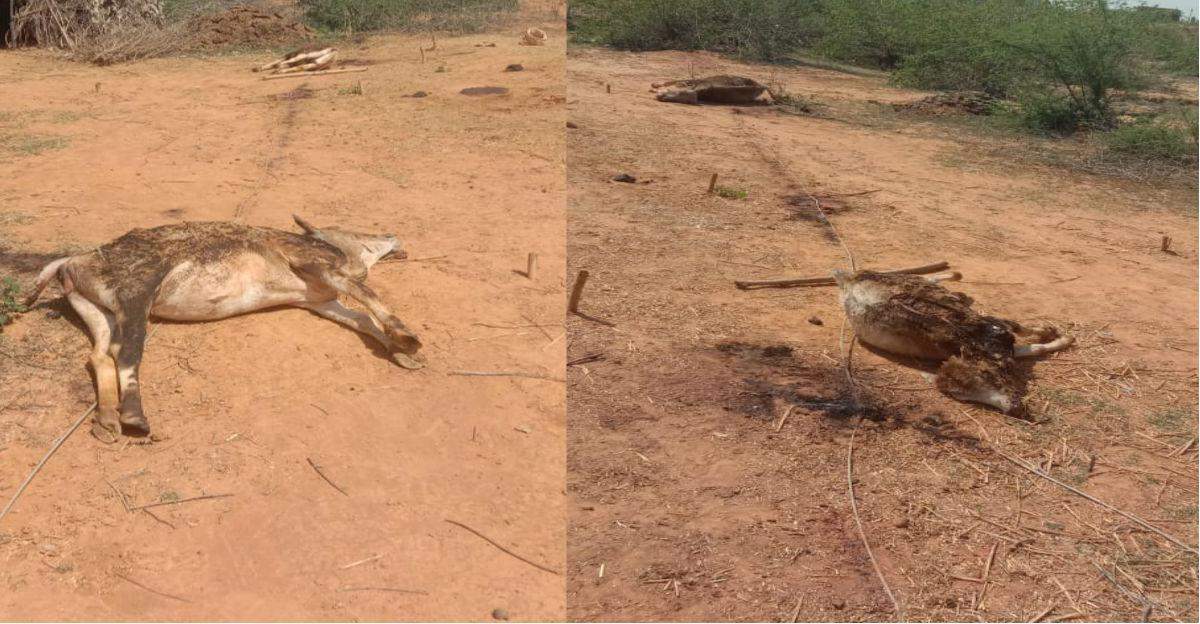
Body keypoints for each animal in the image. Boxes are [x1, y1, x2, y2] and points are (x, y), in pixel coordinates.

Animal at [23, 217, 427, 441]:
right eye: (352, 230)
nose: (391, 234)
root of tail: (73, 260)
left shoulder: (318, 301)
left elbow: (361, 319)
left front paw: (404, 354)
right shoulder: (313, 263)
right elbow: (366, 294)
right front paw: (409, 339)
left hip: (96, 309)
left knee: (99, 355)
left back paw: (106, 422)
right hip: (137, 295)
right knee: (127, 354)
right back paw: (133, 417)